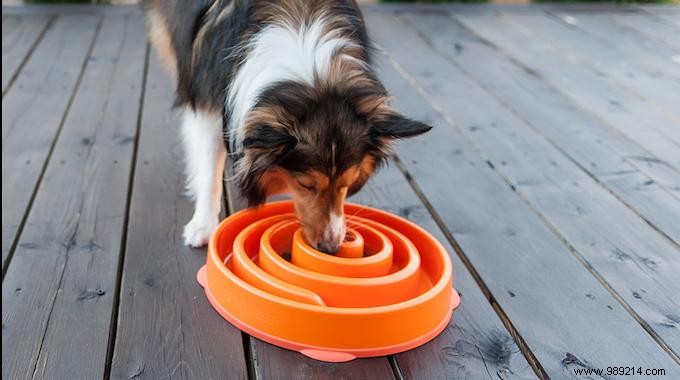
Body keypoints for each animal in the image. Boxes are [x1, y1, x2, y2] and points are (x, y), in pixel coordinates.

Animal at [148, 1, 432, 254]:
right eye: (305, 185)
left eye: (347, 183)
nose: (330, 248)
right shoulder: (209, 103)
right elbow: (209, 172)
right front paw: (203, 225)